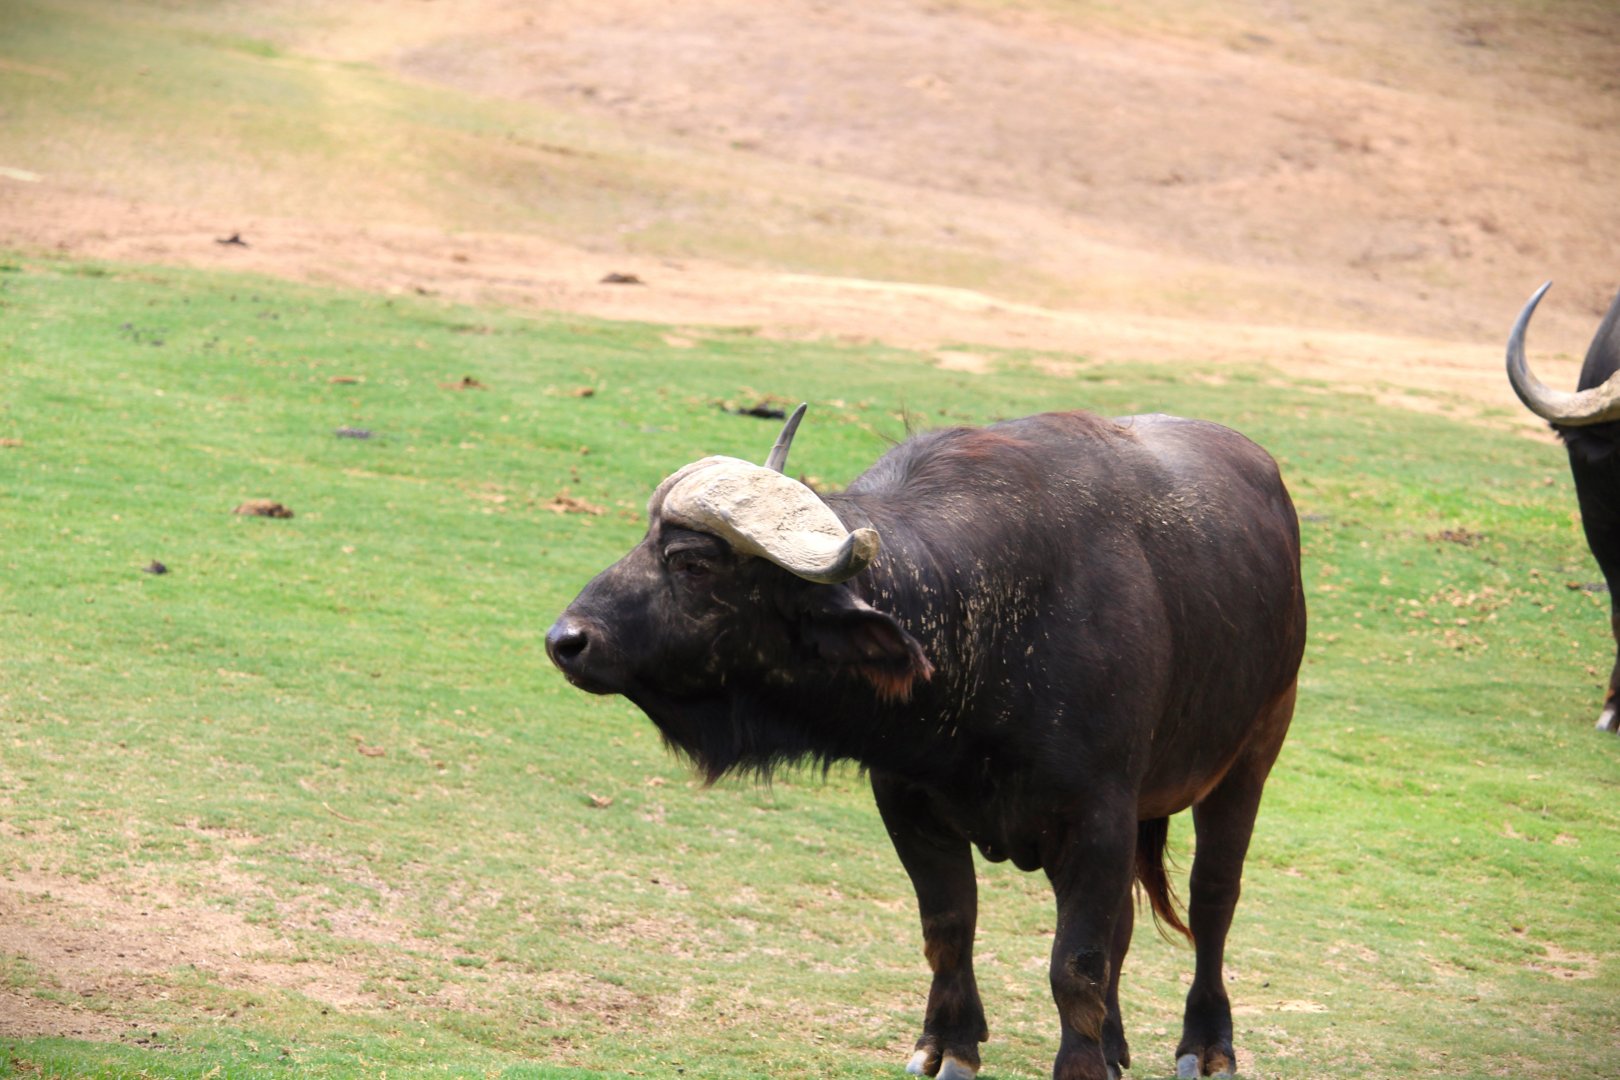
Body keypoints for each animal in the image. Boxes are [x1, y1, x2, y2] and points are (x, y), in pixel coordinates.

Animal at [546, 405, 1307, 1080]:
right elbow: (949, 927)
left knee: (1212, 901)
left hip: (1252, 757)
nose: (566, 640)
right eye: (646, 541)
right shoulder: (908, 803)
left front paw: (1082, 1066)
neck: (982, 634)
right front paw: (949, 1046)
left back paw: (1207, 1045)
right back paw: (1117, 1045)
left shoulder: (1097, 818)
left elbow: (1076, 962)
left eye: (691, 563)